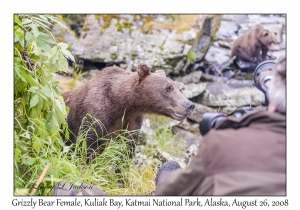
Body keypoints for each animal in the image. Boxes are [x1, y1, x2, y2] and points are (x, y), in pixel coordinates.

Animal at [63, 63, 195, 157]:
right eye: (168, 88)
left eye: (179, 89)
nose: (190, 105)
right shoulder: (95, 116)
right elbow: (87, 145)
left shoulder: (132, 121)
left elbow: (126, 149)